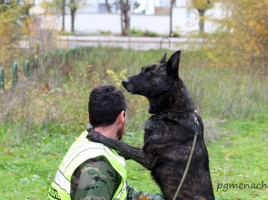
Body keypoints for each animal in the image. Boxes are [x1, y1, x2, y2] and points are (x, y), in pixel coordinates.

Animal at [87, 50, 215, 199]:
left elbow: (118, 143)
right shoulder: (143, 150)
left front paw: (98, 136)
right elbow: (123, 149)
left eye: (149, 73)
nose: (124, 81)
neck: (172, 110)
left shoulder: (147, 156)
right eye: (142, 69)